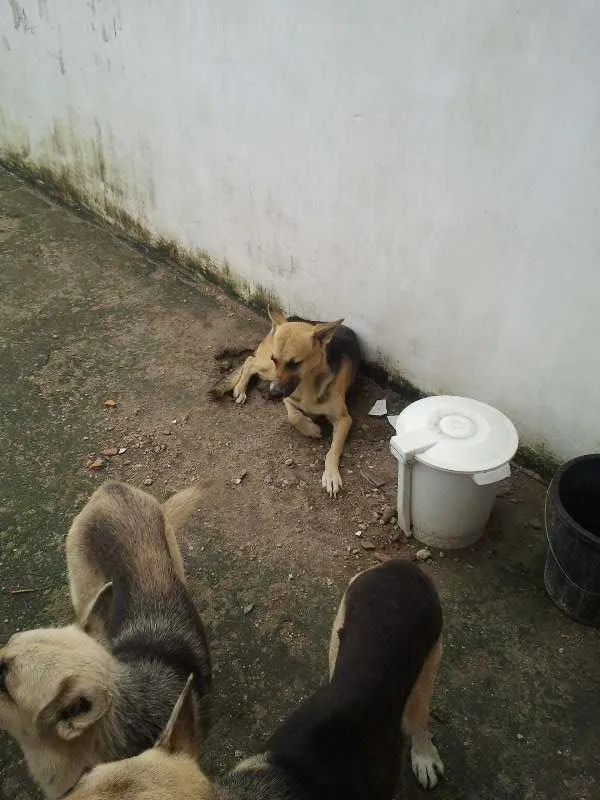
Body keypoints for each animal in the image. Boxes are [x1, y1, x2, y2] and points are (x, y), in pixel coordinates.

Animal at [64, 560, 446, 800]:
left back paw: (424, 756)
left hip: (428, 669)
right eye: (77, 781)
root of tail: (399, 567)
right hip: (338, 637)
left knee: (418, 719)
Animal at [211, 310, 360, 496]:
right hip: (268, 369)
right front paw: (312, 429)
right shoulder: (288, 397)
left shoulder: (344, 419)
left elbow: (333, 450)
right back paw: (240, 387)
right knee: (250, 361)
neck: (307, 383)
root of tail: (291, 318)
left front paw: (331, 475)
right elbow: (294, 417)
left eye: (295, 363)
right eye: (276, 360)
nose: (273, 393)